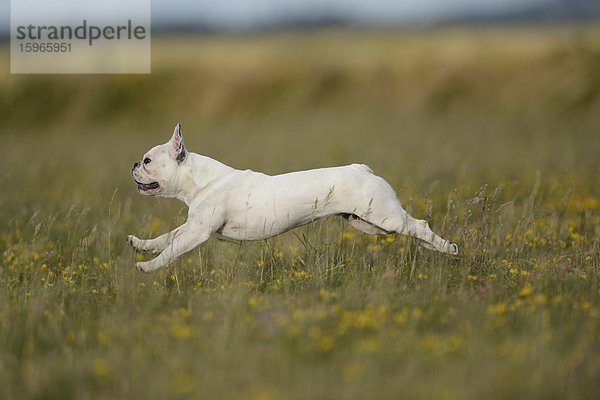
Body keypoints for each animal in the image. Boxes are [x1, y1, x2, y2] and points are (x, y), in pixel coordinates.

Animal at [129, 123, 458, 272]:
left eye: (147, 160)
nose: (133, 164)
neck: (199, 180)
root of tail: (362, 169)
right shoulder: (191, 226)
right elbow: (167, 237)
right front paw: (141, 246)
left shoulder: (198, 232)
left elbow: (172, 250)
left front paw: (148, 267)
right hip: (367, 223)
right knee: (412, 230)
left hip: (383, 216)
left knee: (418, 226)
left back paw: (448, 248)